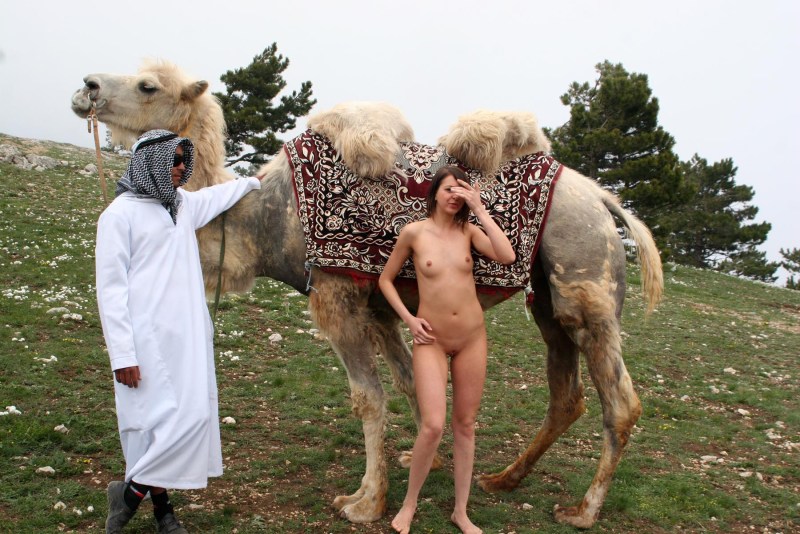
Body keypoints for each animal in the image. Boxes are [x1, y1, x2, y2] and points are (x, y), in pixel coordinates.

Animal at [71, 60, 663, 529]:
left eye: (148, 85)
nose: (86, 87)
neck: (269, 220)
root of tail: (605, 201)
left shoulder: (336, 296)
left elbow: (368, 398)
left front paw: (365, 503)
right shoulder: (381, 307)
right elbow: (407, 384)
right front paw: (414, 467)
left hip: (585, 286)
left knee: (621, 403)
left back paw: (582, 510)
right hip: (547, 300)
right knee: (567, 395)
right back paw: (501, 479)